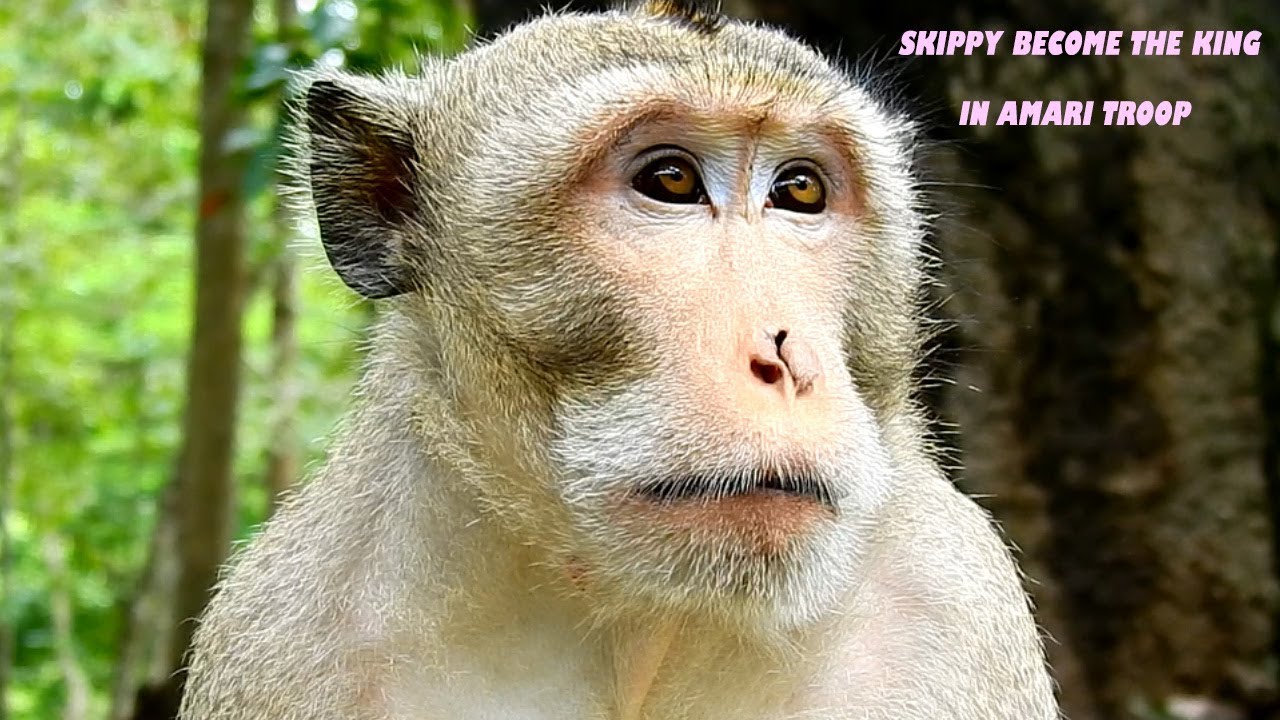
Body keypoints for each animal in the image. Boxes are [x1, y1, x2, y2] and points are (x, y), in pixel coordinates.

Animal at [179, 2, 1059, 718]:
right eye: (668, 180)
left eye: (800, 191)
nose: (787, 362)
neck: (644, 624)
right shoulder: (293, 635)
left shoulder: (953, 615)